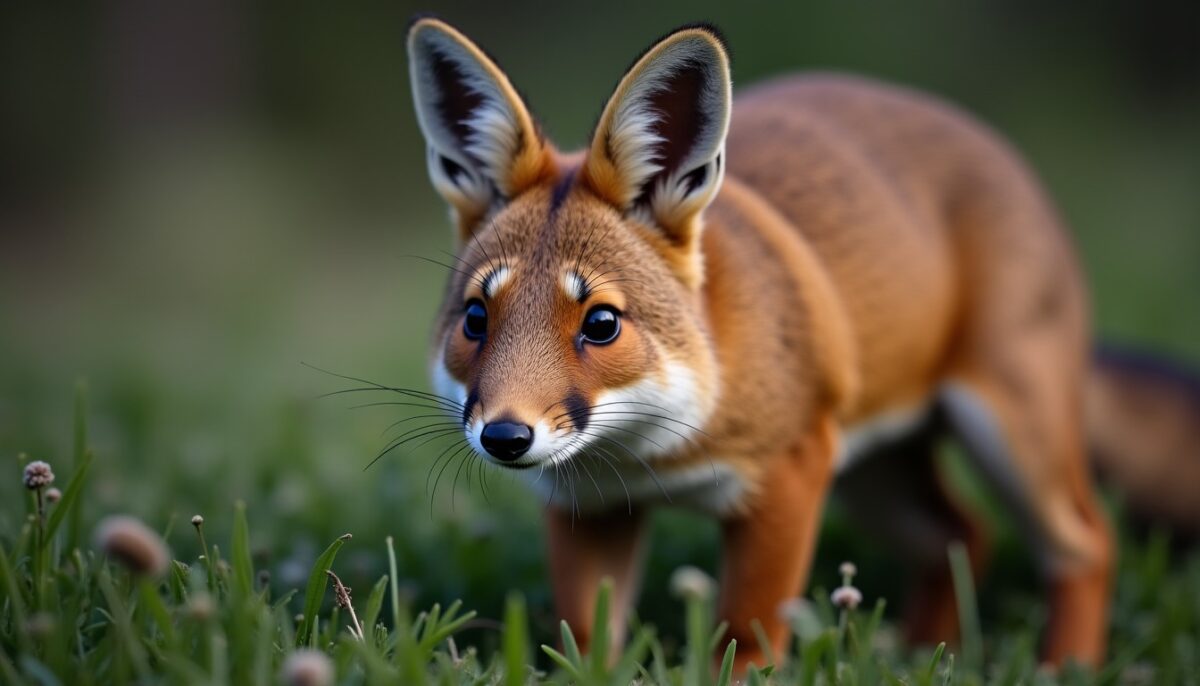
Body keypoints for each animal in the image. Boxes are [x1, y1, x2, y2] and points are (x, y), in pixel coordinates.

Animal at [401, 15, 1197, 673]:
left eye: (600, 323)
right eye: (476, 319)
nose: (505, 437)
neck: (649, 453)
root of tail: (980, 133)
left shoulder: (787, 478)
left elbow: (746, 637)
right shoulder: (588, 506)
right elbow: (586, 640)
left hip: (1007, 438)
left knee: (1086, 544)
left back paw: (1066, 664)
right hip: (873, 476)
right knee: (962, 535)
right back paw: (920, 653)